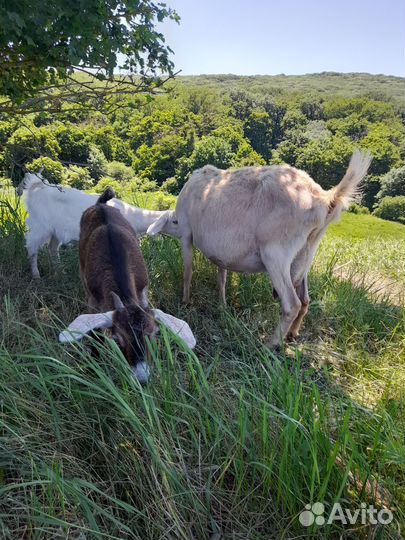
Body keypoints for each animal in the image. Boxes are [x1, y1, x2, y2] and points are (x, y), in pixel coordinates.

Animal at [147, 151, 370, 346]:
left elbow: (187, 271)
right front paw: (222, 305)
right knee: (305, 299)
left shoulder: (187, 233)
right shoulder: (222, 252)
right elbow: (221, 276)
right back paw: (292, 334)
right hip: (305, 254)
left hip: (276, 253)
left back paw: (272, 344)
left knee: (292, 304)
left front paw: (185, 302)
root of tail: (325, 198)